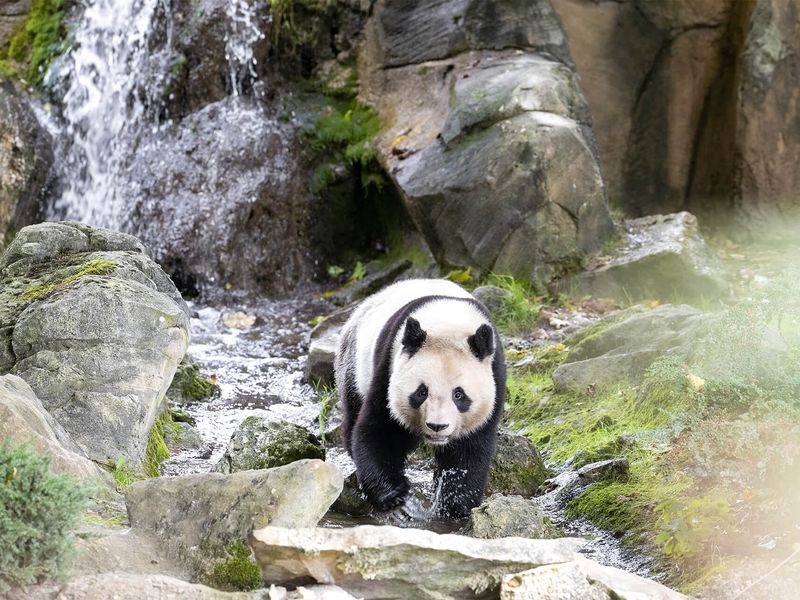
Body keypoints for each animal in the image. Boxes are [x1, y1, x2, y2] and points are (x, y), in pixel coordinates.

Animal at [332, 278, 506, 516]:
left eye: (459, 395)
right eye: (422, 392)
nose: (437, 426)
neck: (448, 321)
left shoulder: (494, 374)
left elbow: (469, 449)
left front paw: (455, 504)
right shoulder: (388, 366)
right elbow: (381, 430)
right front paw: (392, 494)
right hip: (354, 362)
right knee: (353, 409)